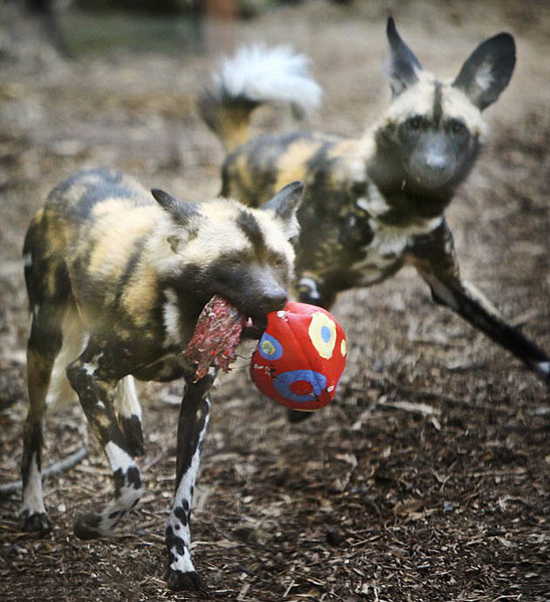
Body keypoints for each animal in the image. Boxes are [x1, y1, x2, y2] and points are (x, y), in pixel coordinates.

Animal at [21, 166, 304, 588]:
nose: (276, 299)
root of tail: (78, 176)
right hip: (44, 343)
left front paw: (180, 562)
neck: (182, 310)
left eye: (276, 260)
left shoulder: (197, 402)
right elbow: (131, 481)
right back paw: (32, 506)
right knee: (33, 426)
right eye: (234, 262)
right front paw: (95, 524)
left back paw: (129, 417)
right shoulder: (84, 373)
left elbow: (182, 499)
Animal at [202, 17, 550, 408]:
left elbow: (519, 340)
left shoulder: (449, 284)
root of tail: (243, 148)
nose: (434, 166)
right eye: (414, 124)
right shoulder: (314, 280)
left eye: (457, 129)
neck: (402, 210)